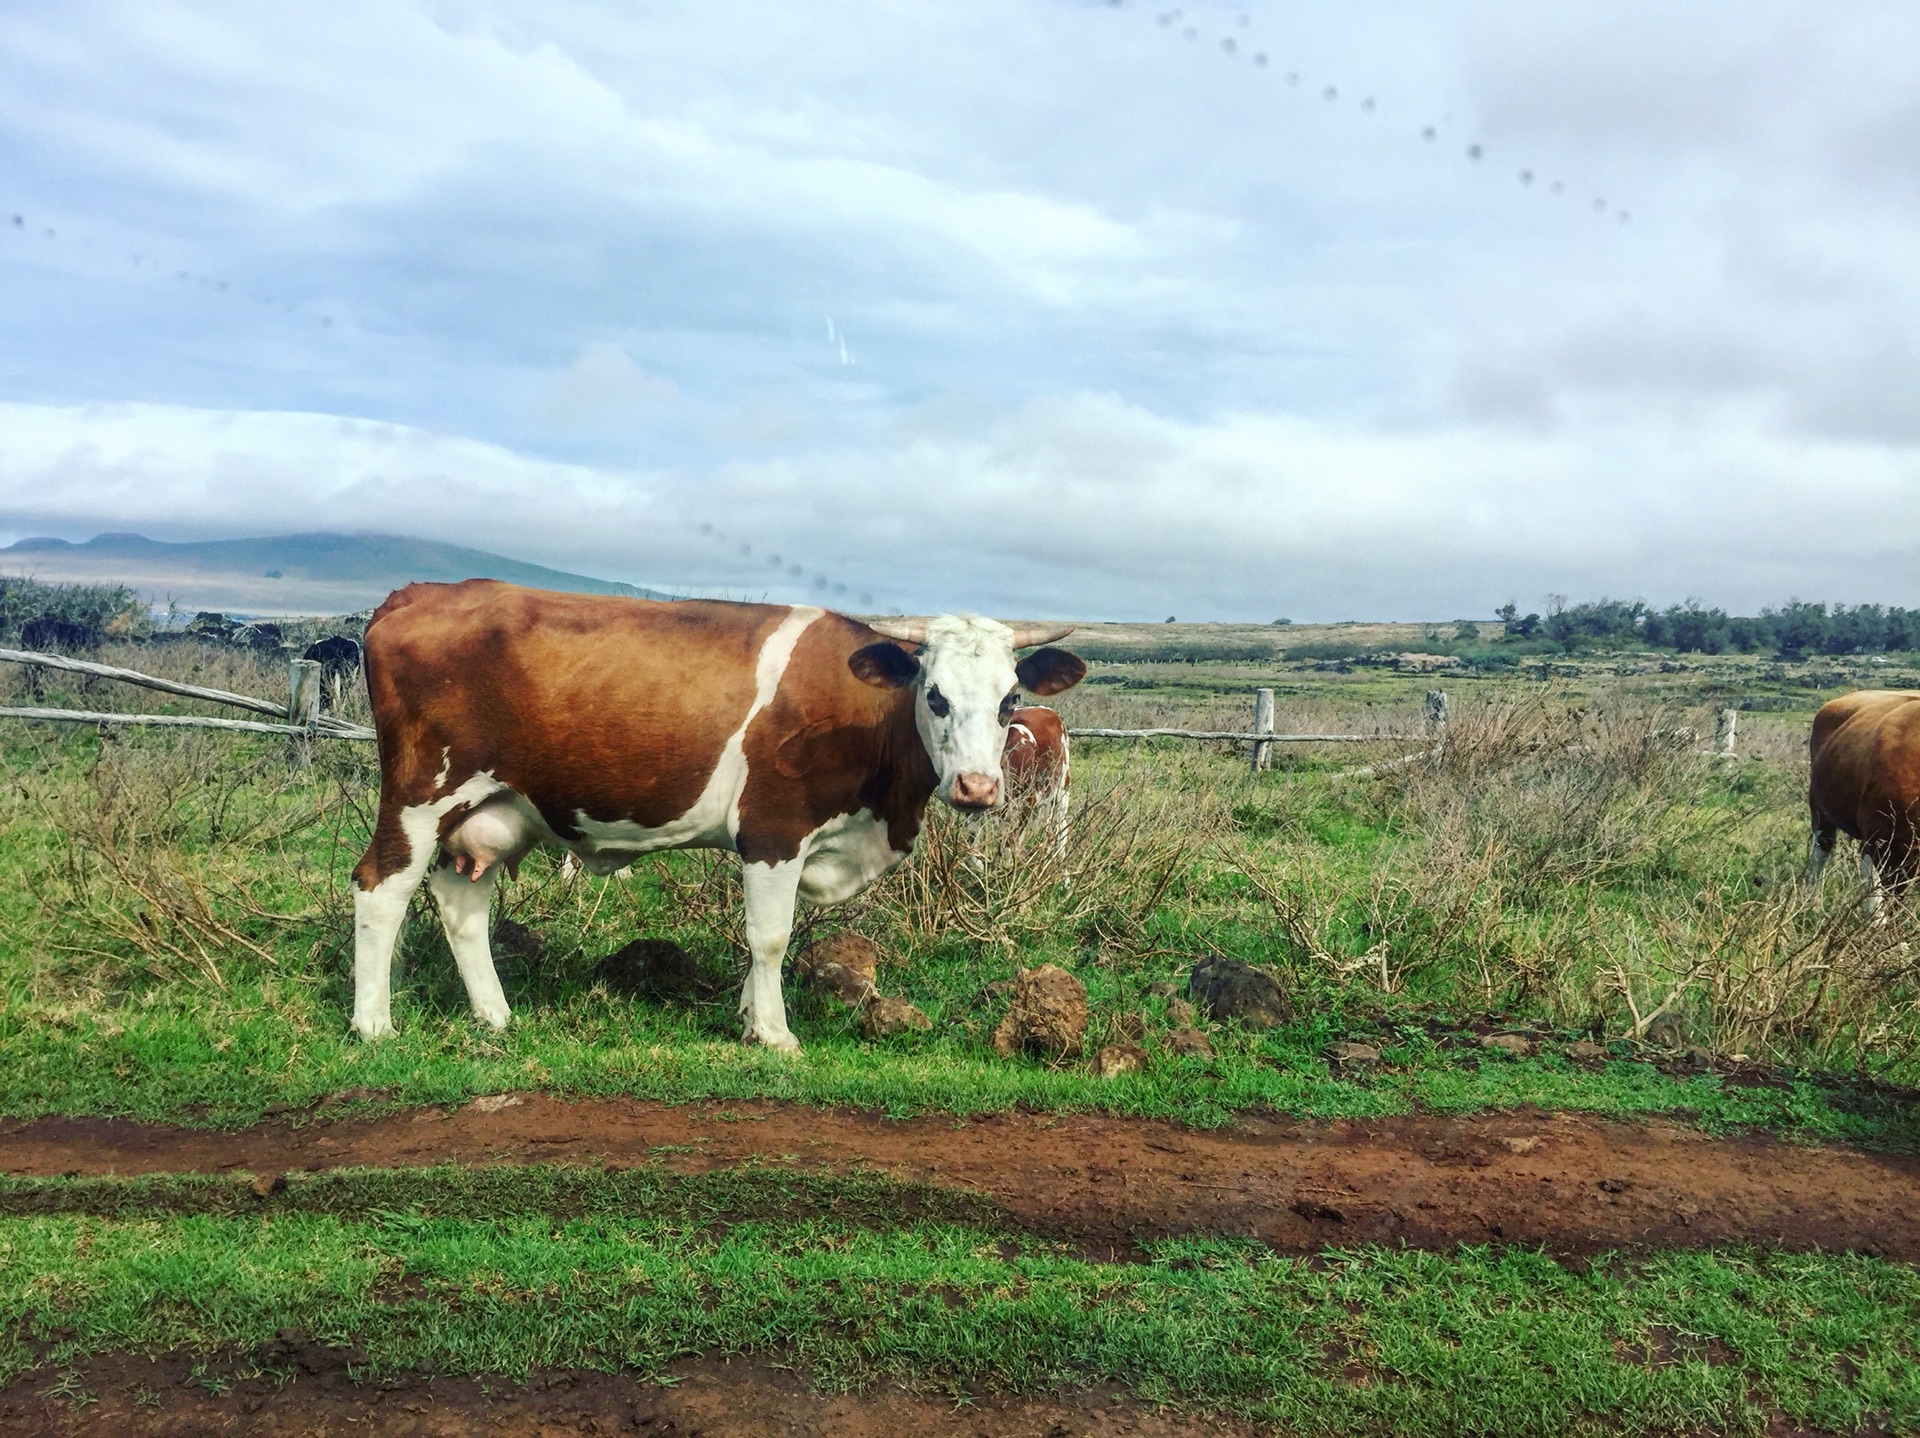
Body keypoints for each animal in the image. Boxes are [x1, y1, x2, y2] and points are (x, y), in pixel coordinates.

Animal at [353, 575, 1090, 1052]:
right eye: (934, 694)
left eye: (1010, 697)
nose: (977, 787)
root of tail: (419, 593)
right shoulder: (772, 830)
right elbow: (770, 936)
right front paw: (773, 1032)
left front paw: (747, 1014)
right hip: (420, 797)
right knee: (380, 888)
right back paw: (374, 1024)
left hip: (490, 809)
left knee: (460, 902)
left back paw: (495, 1014)